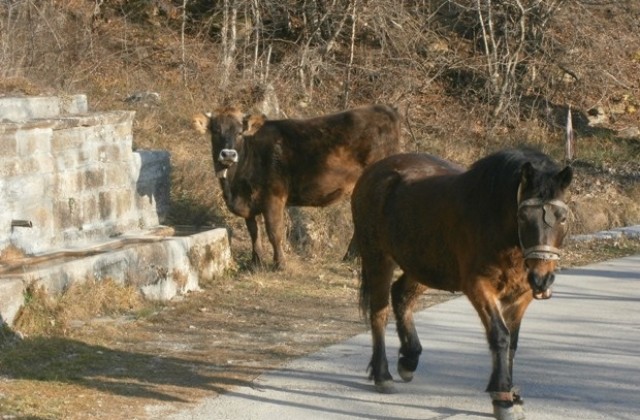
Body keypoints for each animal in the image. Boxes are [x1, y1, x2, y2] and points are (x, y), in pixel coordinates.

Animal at [191, 105, 400, 270]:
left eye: (240, 132)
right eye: (216, 131)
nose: (228, 154)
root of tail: (383, 109)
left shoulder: (273, 197)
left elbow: (274, 232)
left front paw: (280, 264)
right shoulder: (248, 203)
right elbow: (254, 232)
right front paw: (256, 262)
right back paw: (350, 258)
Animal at [352, 148, 572, 420]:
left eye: (562, 217)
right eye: (523, 216)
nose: (542, 279)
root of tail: (373, 171)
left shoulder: (520, 295)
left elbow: (512, 343)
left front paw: (512, 395)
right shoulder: (479, 286)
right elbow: (500, 336)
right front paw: (502, 398)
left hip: (424, 264)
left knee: (401, 296)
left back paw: (409, 359)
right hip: (378, 257)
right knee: (379, 313)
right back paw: (383, 375)